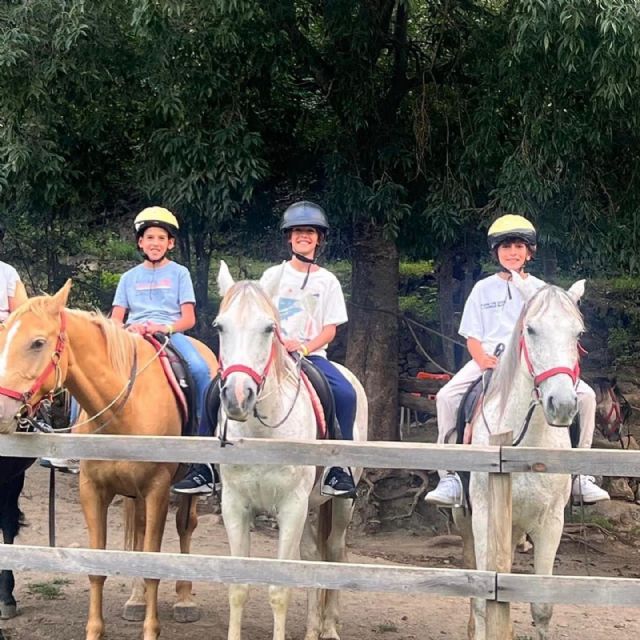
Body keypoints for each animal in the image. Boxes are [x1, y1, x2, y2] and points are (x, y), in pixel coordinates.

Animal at [0, 284, 218, 640]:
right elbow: (98, 565)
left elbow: (153, 564)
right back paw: (136, 600)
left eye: (37, 342)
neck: (124, 408)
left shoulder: (157, 491)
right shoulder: (93, 491)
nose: (2, 410)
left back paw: (184, 599)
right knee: (138, 530)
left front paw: (151, 630)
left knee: (185, 527)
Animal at [214, 260, 364, 640]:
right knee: (313, 555)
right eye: (220, 327)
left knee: (335, 552)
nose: (238, 397)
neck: (262, 435)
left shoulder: (291, 507)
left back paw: (330, 627)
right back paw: (313, 629)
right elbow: (238, 587)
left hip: (341, 503)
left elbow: (280, 589)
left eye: (269, 328)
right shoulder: (235, 506)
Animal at [456, 274, 584, 640]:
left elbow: (541, 606)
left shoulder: (551, 523)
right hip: (467, 520)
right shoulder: (484, 517)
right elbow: (483, 596)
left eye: (578, 333)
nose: (562, 405)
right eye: (531, 329)